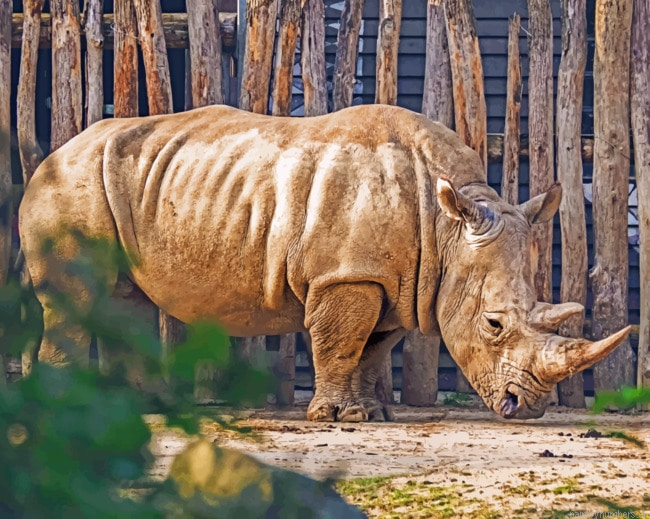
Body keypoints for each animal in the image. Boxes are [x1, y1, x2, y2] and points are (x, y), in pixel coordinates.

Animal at [19, 104, 629, 422]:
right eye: (494, 324)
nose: (526, 408)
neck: (449, 226)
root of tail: (49, 155)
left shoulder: (395, 280)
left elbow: (372, 347)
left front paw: (372, 415)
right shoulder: (346, 272)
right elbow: (340, 340)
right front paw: (338, 419)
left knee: (122, 301)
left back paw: (137, 410)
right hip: (69, 183)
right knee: (77, 300)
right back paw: (63, 415)